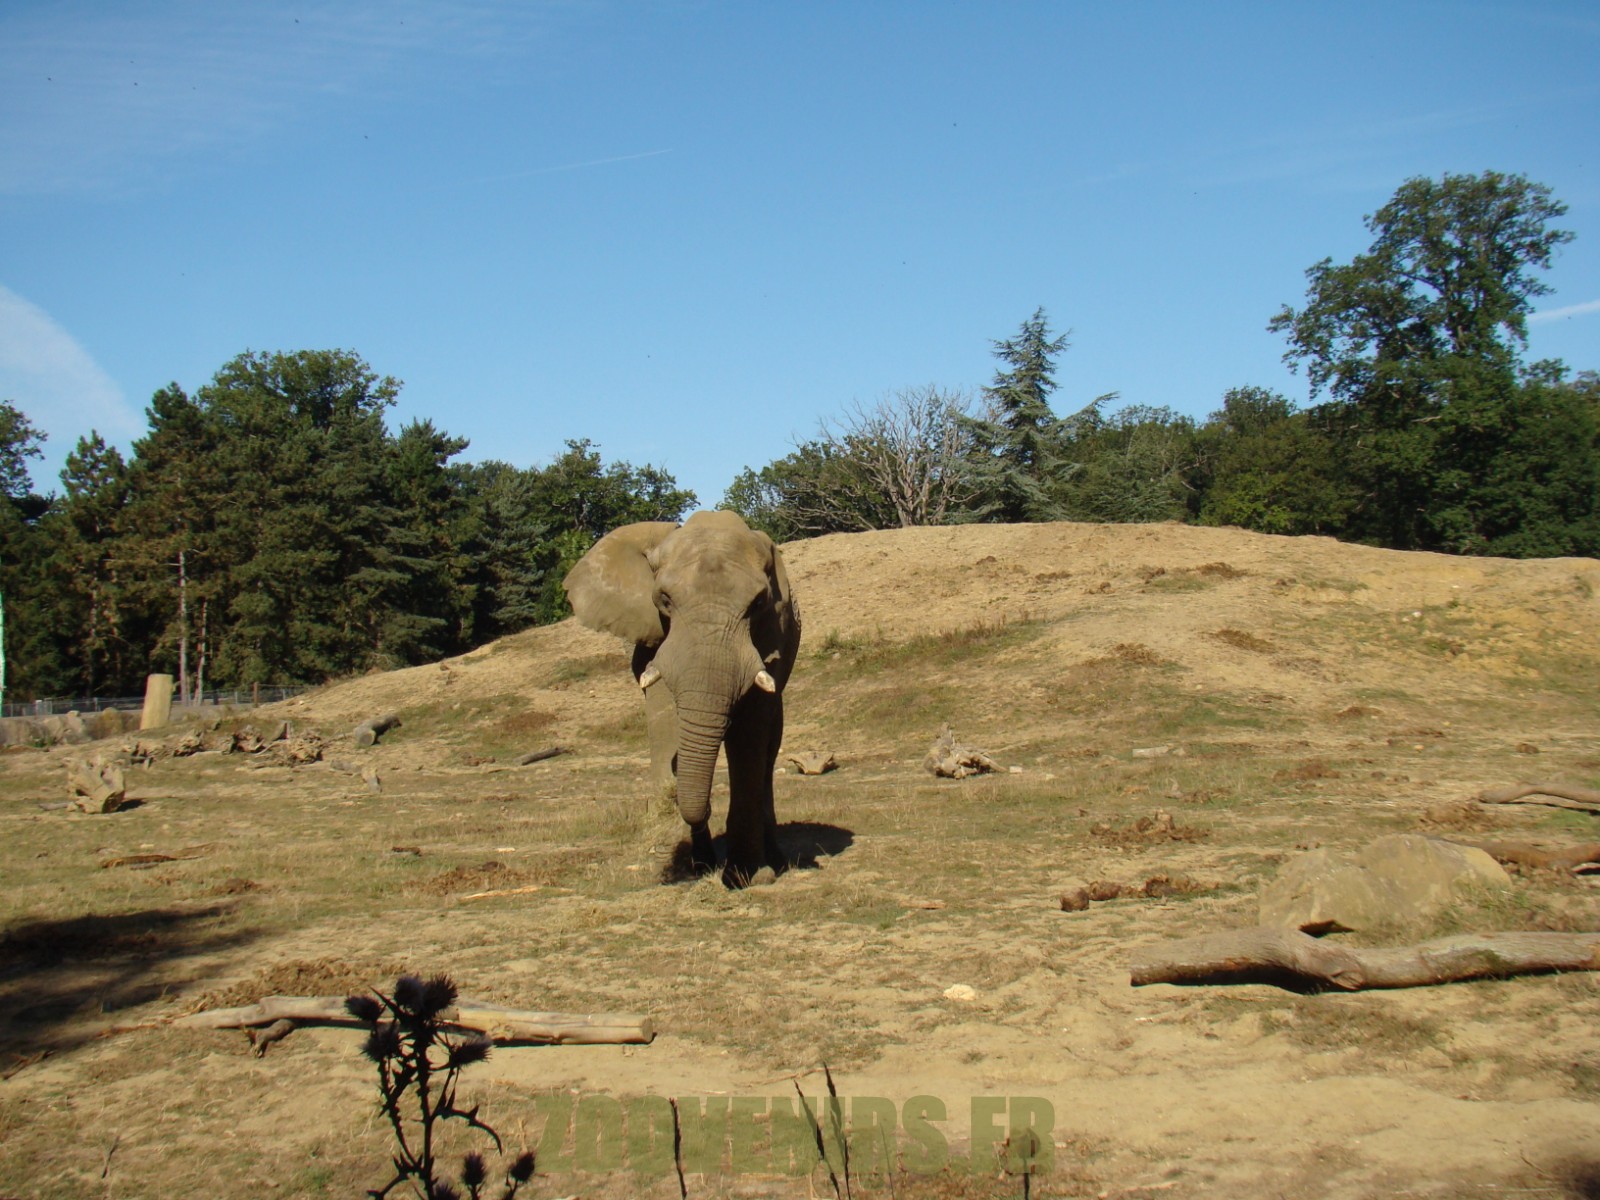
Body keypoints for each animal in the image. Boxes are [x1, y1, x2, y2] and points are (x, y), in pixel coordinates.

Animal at [562, 510, 802, 886]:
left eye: (758, 603)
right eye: (664, 599)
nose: (702, 811)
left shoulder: (769, 636)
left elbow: (750, 736)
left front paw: (747, 876)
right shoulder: (656, 639)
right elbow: (665, 719)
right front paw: (679, 867)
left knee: (768, 750)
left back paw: (770, 861)